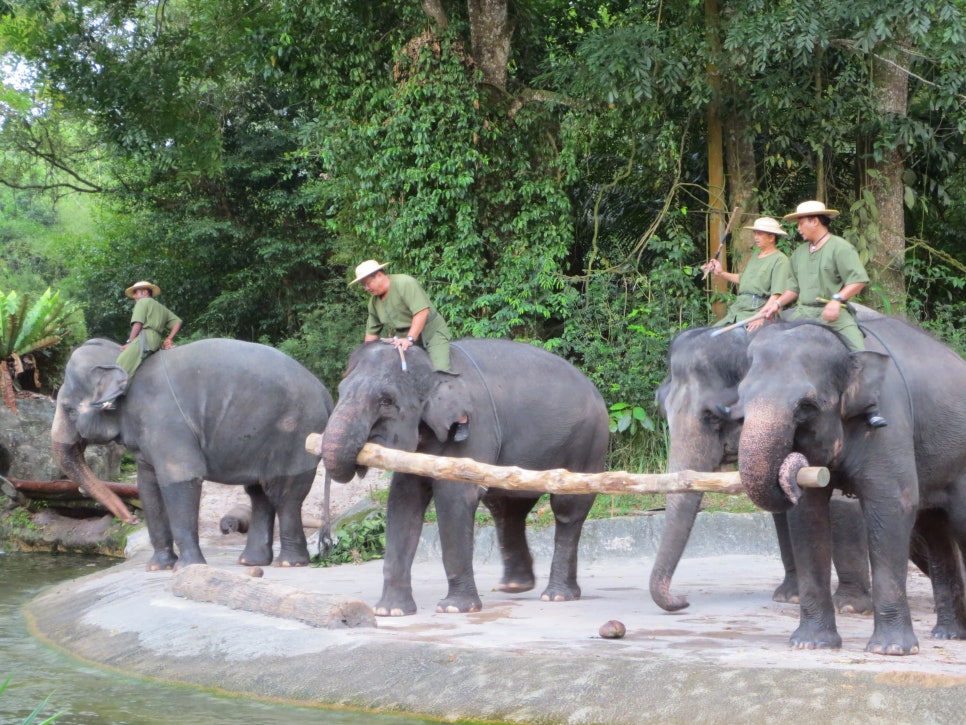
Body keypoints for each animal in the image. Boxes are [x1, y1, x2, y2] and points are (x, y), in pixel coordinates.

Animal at [53, 340, 334, 572]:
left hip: (297, 434)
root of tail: (326, 394)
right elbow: (148, 486)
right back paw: (251, 562)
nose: (131, 519)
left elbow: (180, 478)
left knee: (285, 494)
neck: (123, 358)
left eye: (68, 409)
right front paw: (158, 567)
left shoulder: (166, 420)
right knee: (259, 493)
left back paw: (289, 563)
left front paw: (187, 568)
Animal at [322, 340, 608, 616]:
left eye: (386, 401)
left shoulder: (474, 428)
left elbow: (453, 497)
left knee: (567, 509)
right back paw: (515, 586)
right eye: (341, 389)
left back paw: (556, 595)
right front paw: (389, 611)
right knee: (508, 507)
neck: (431, 368)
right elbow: (403, 501)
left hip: (587, 442)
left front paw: (453, 608)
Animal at [652, 326, 876, 612]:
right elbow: (782, 510)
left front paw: (848, 606)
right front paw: (790, 596)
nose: (682, 599)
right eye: (663, 410)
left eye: (712, 416)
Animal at [732, 316, 966, 656]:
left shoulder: (890, 420)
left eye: (806, 406)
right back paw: (948, 634)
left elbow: (892, 505)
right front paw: (809, 643)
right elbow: (807, 516)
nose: (793, 464)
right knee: (934, 531)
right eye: (741, 401)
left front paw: (890, 650)